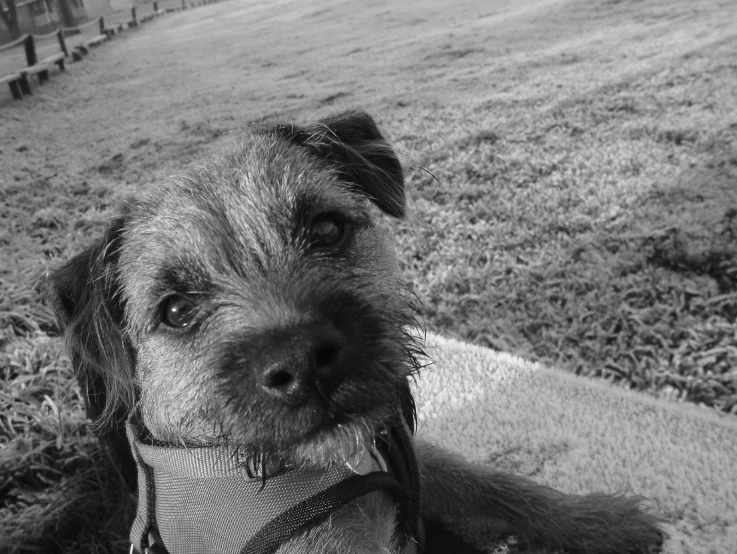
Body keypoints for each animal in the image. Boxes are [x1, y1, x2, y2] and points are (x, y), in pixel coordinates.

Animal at [50, 109, 660, 552]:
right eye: (176, 311)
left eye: (326, 228)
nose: (300, 361)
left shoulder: (412, 462)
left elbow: (492, 482)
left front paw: (601, 521)